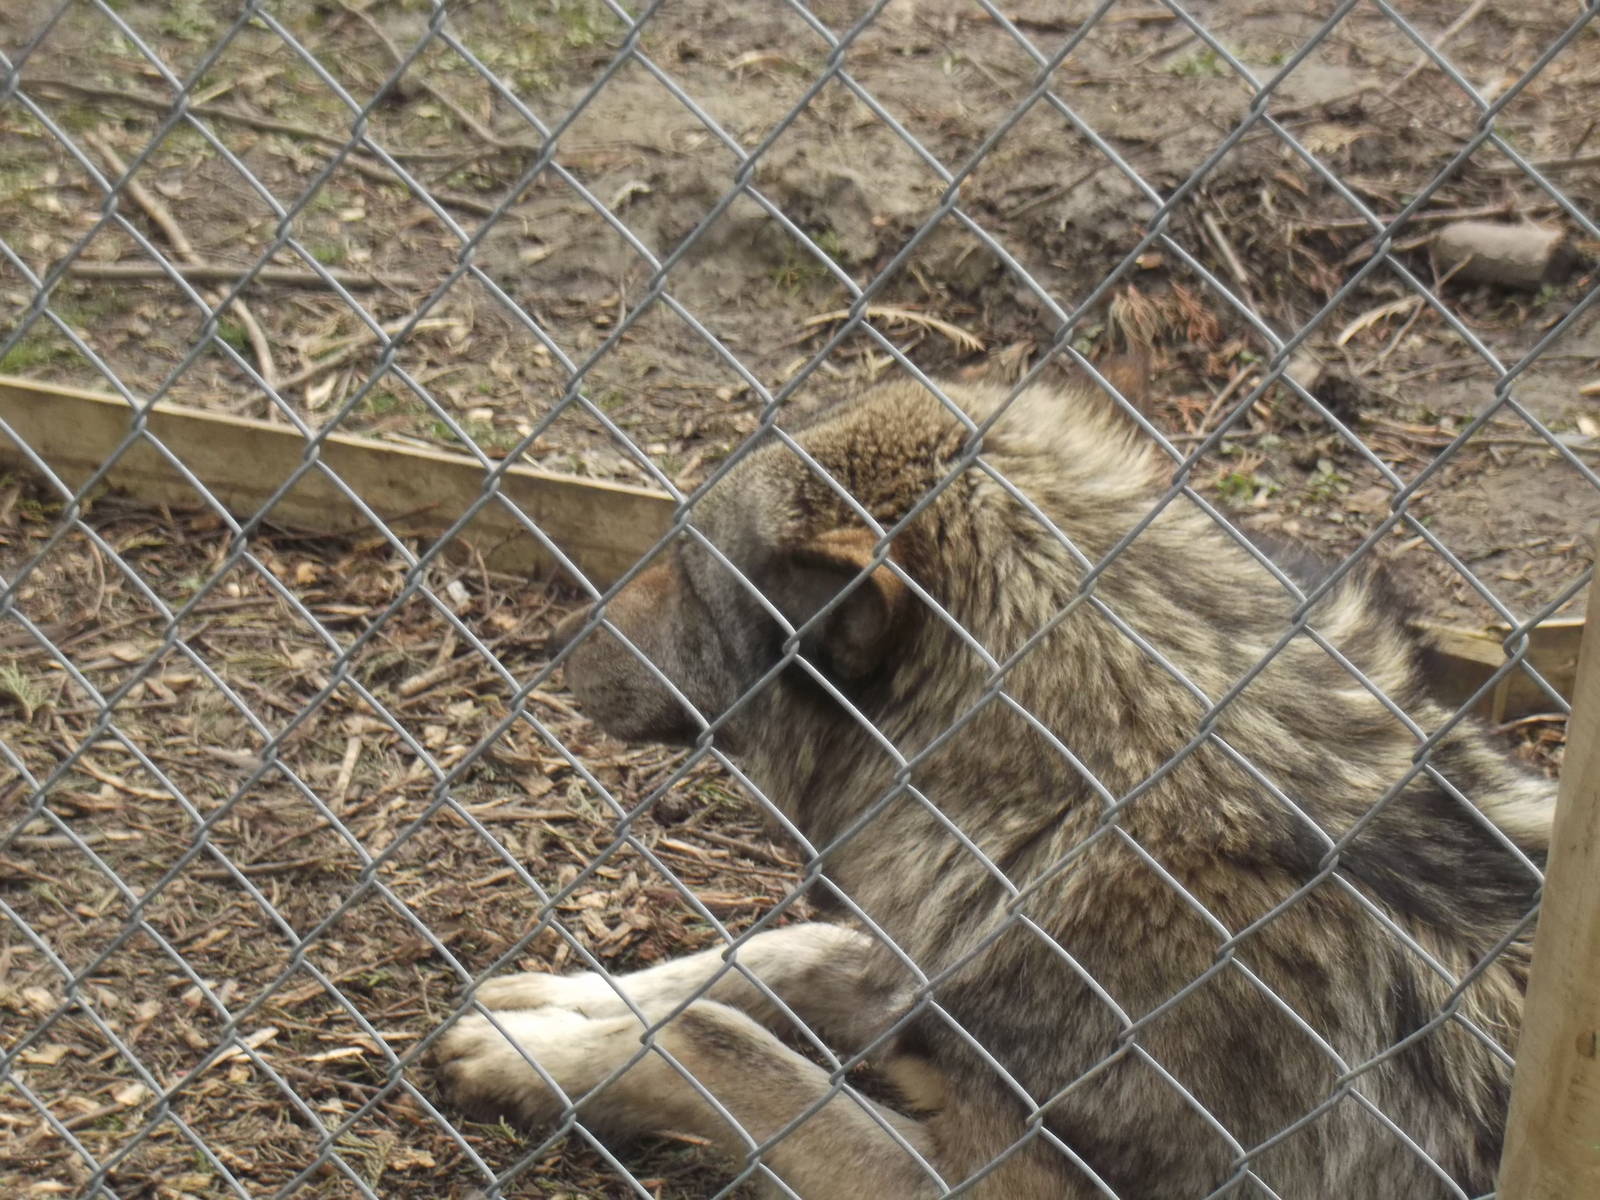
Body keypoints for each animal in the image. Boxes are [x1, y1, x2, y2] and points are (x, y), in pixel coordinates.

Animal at [432, 377, 1553, 1198]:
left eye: (688, 575)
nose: (552, 642)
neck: (1090, 803)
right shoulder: (927, 966)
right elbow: (763, 958)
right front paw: (562, 1009)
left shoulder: (994, 1179)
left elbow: (710, 1042)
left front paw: (544, 1057)